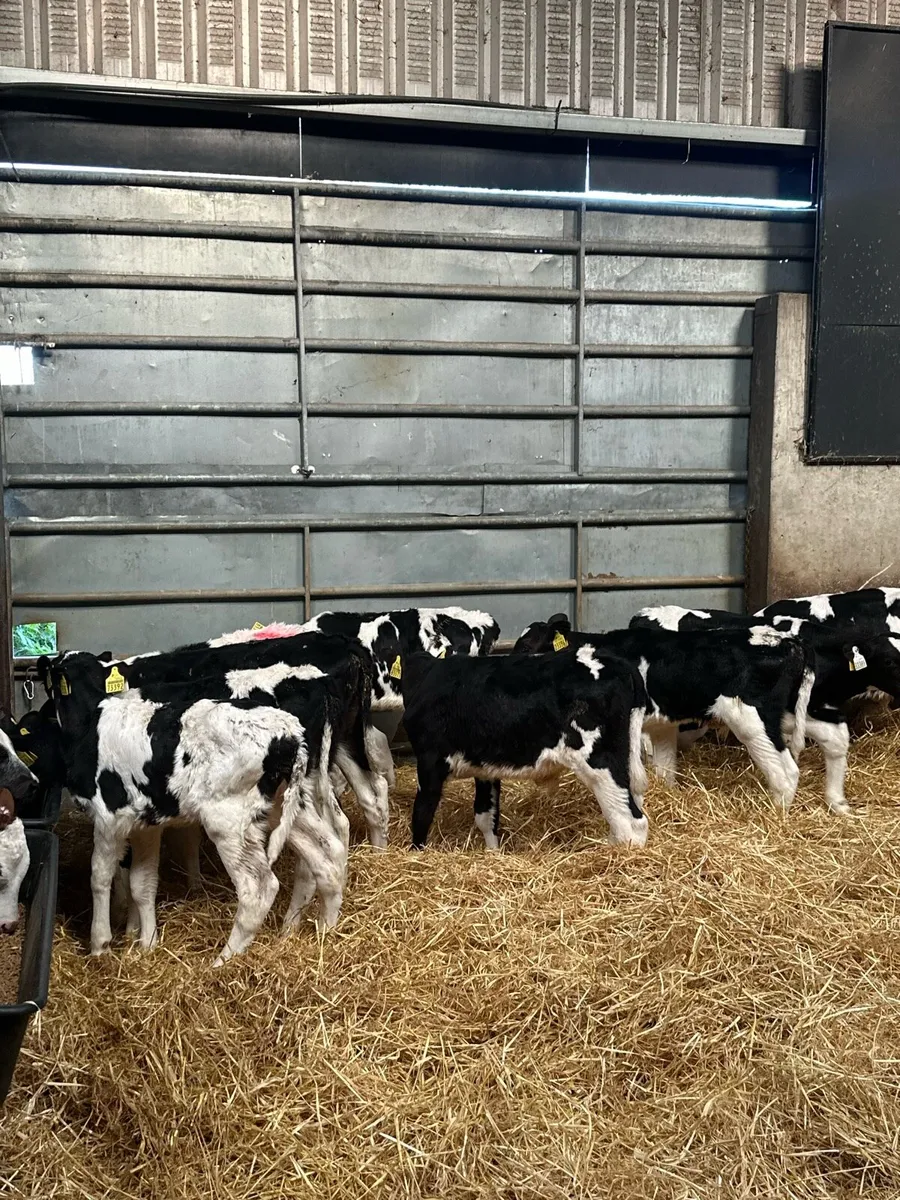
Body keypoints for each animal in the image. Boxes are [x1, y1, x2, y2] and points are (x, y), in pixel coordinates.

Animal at [45, 653, 354, 964]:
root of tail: (287, 734)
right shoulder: (146, 824)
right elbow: (142, 883)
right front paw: (146, 944)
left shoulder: (107, 817)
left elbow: (99, 877)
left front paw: (100, 944)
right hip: (288, 807)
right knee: (327, 854)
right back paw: (322, 931)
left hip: (229, 822)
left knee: (259, 888)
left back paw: (224, 961)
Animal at [398, 648, 648, 851]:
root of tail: (615, 661)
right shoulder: (485, 769)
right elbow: (486, 815)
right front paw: (493, 853)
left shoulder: (430, 760)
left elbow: (422, 813)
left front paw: (416, 853)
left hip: (600, 763)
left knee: (630, 821)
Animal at [513, 615, 814, 813]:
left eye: (527, 646)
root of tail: (788, 641)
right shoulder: (661, 726)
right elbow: (664, 771)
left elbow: (634, 776)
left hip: (752, 718)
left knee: (784, 772)